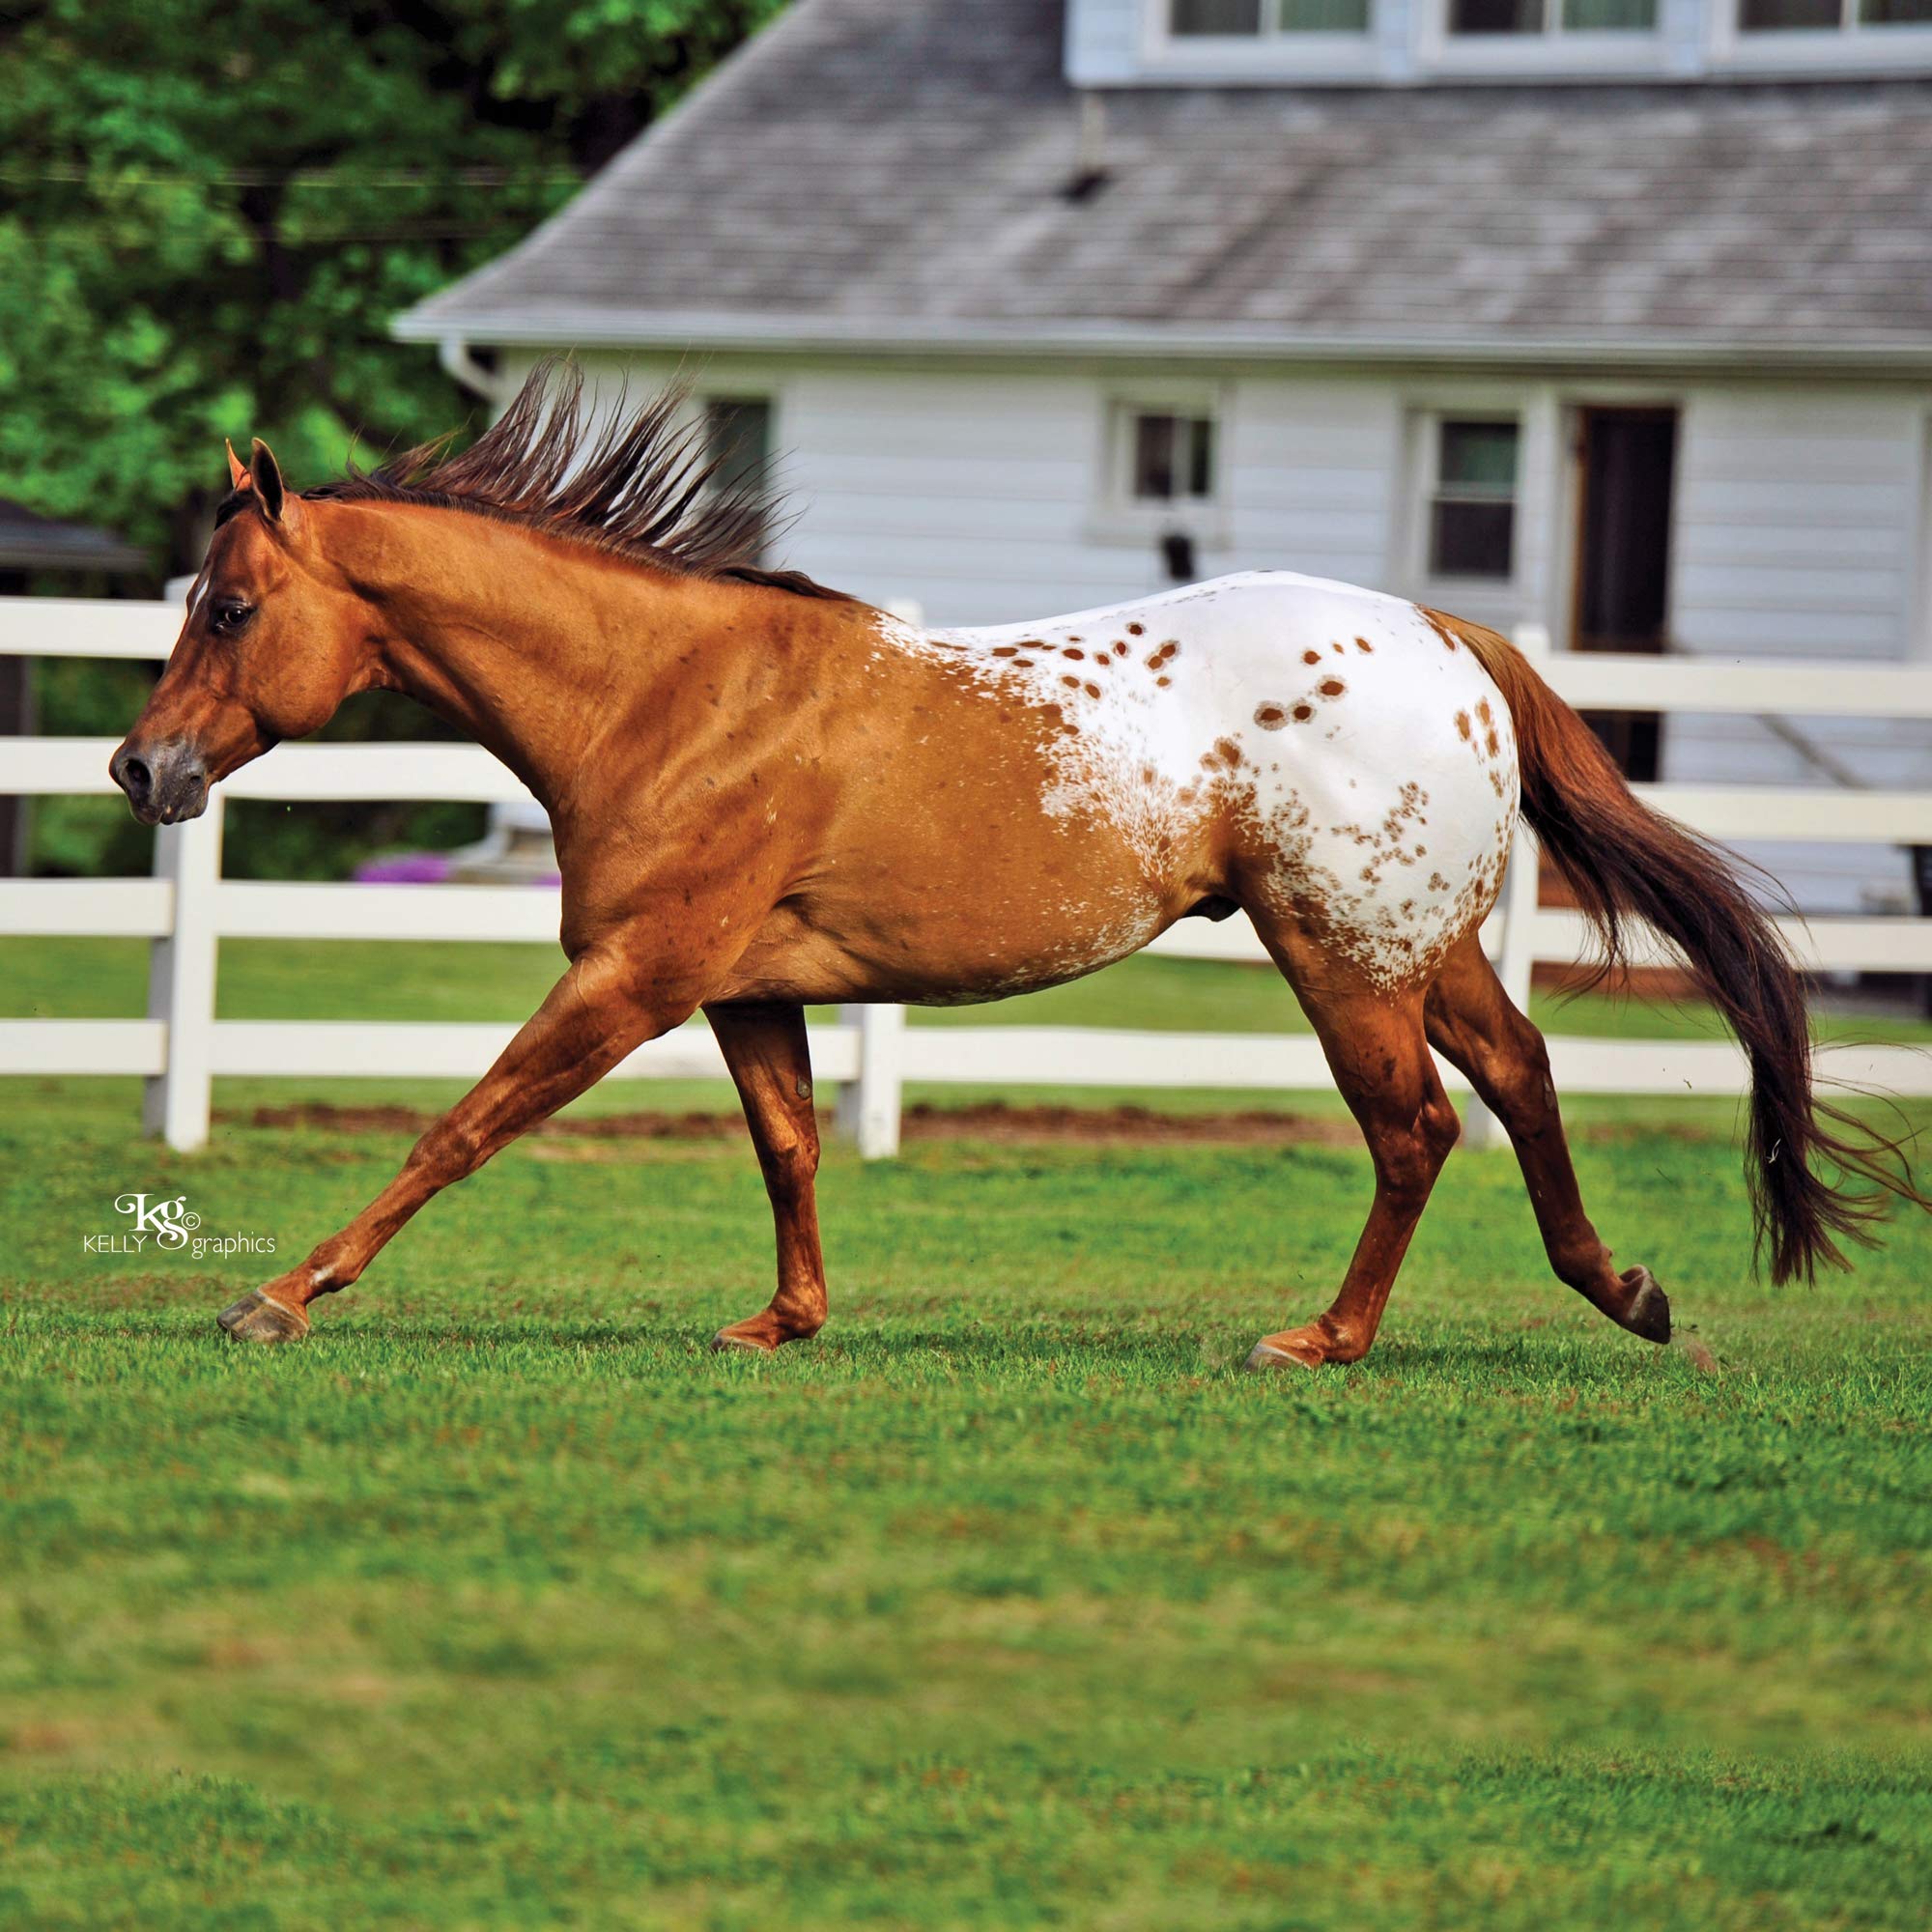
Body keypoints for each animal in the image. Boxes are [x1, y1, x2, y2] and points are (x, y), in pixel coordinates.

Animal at [111, 364, 1924, 1365]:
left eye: (232, 607)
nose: (141, 768)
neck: (668, 695)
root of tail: (1444, 630)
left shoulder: (634, 978)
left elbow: (464, 1125)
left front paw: (284, 1293)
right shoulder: (746, 989)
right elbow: (790, 1148)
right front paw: (785, 1323)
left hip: (1340, 960)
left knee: (1415, 1128)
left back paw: (1325, 1341)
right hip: (1423, 945)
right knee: (1525, 1079)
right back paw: (1621, 1291)